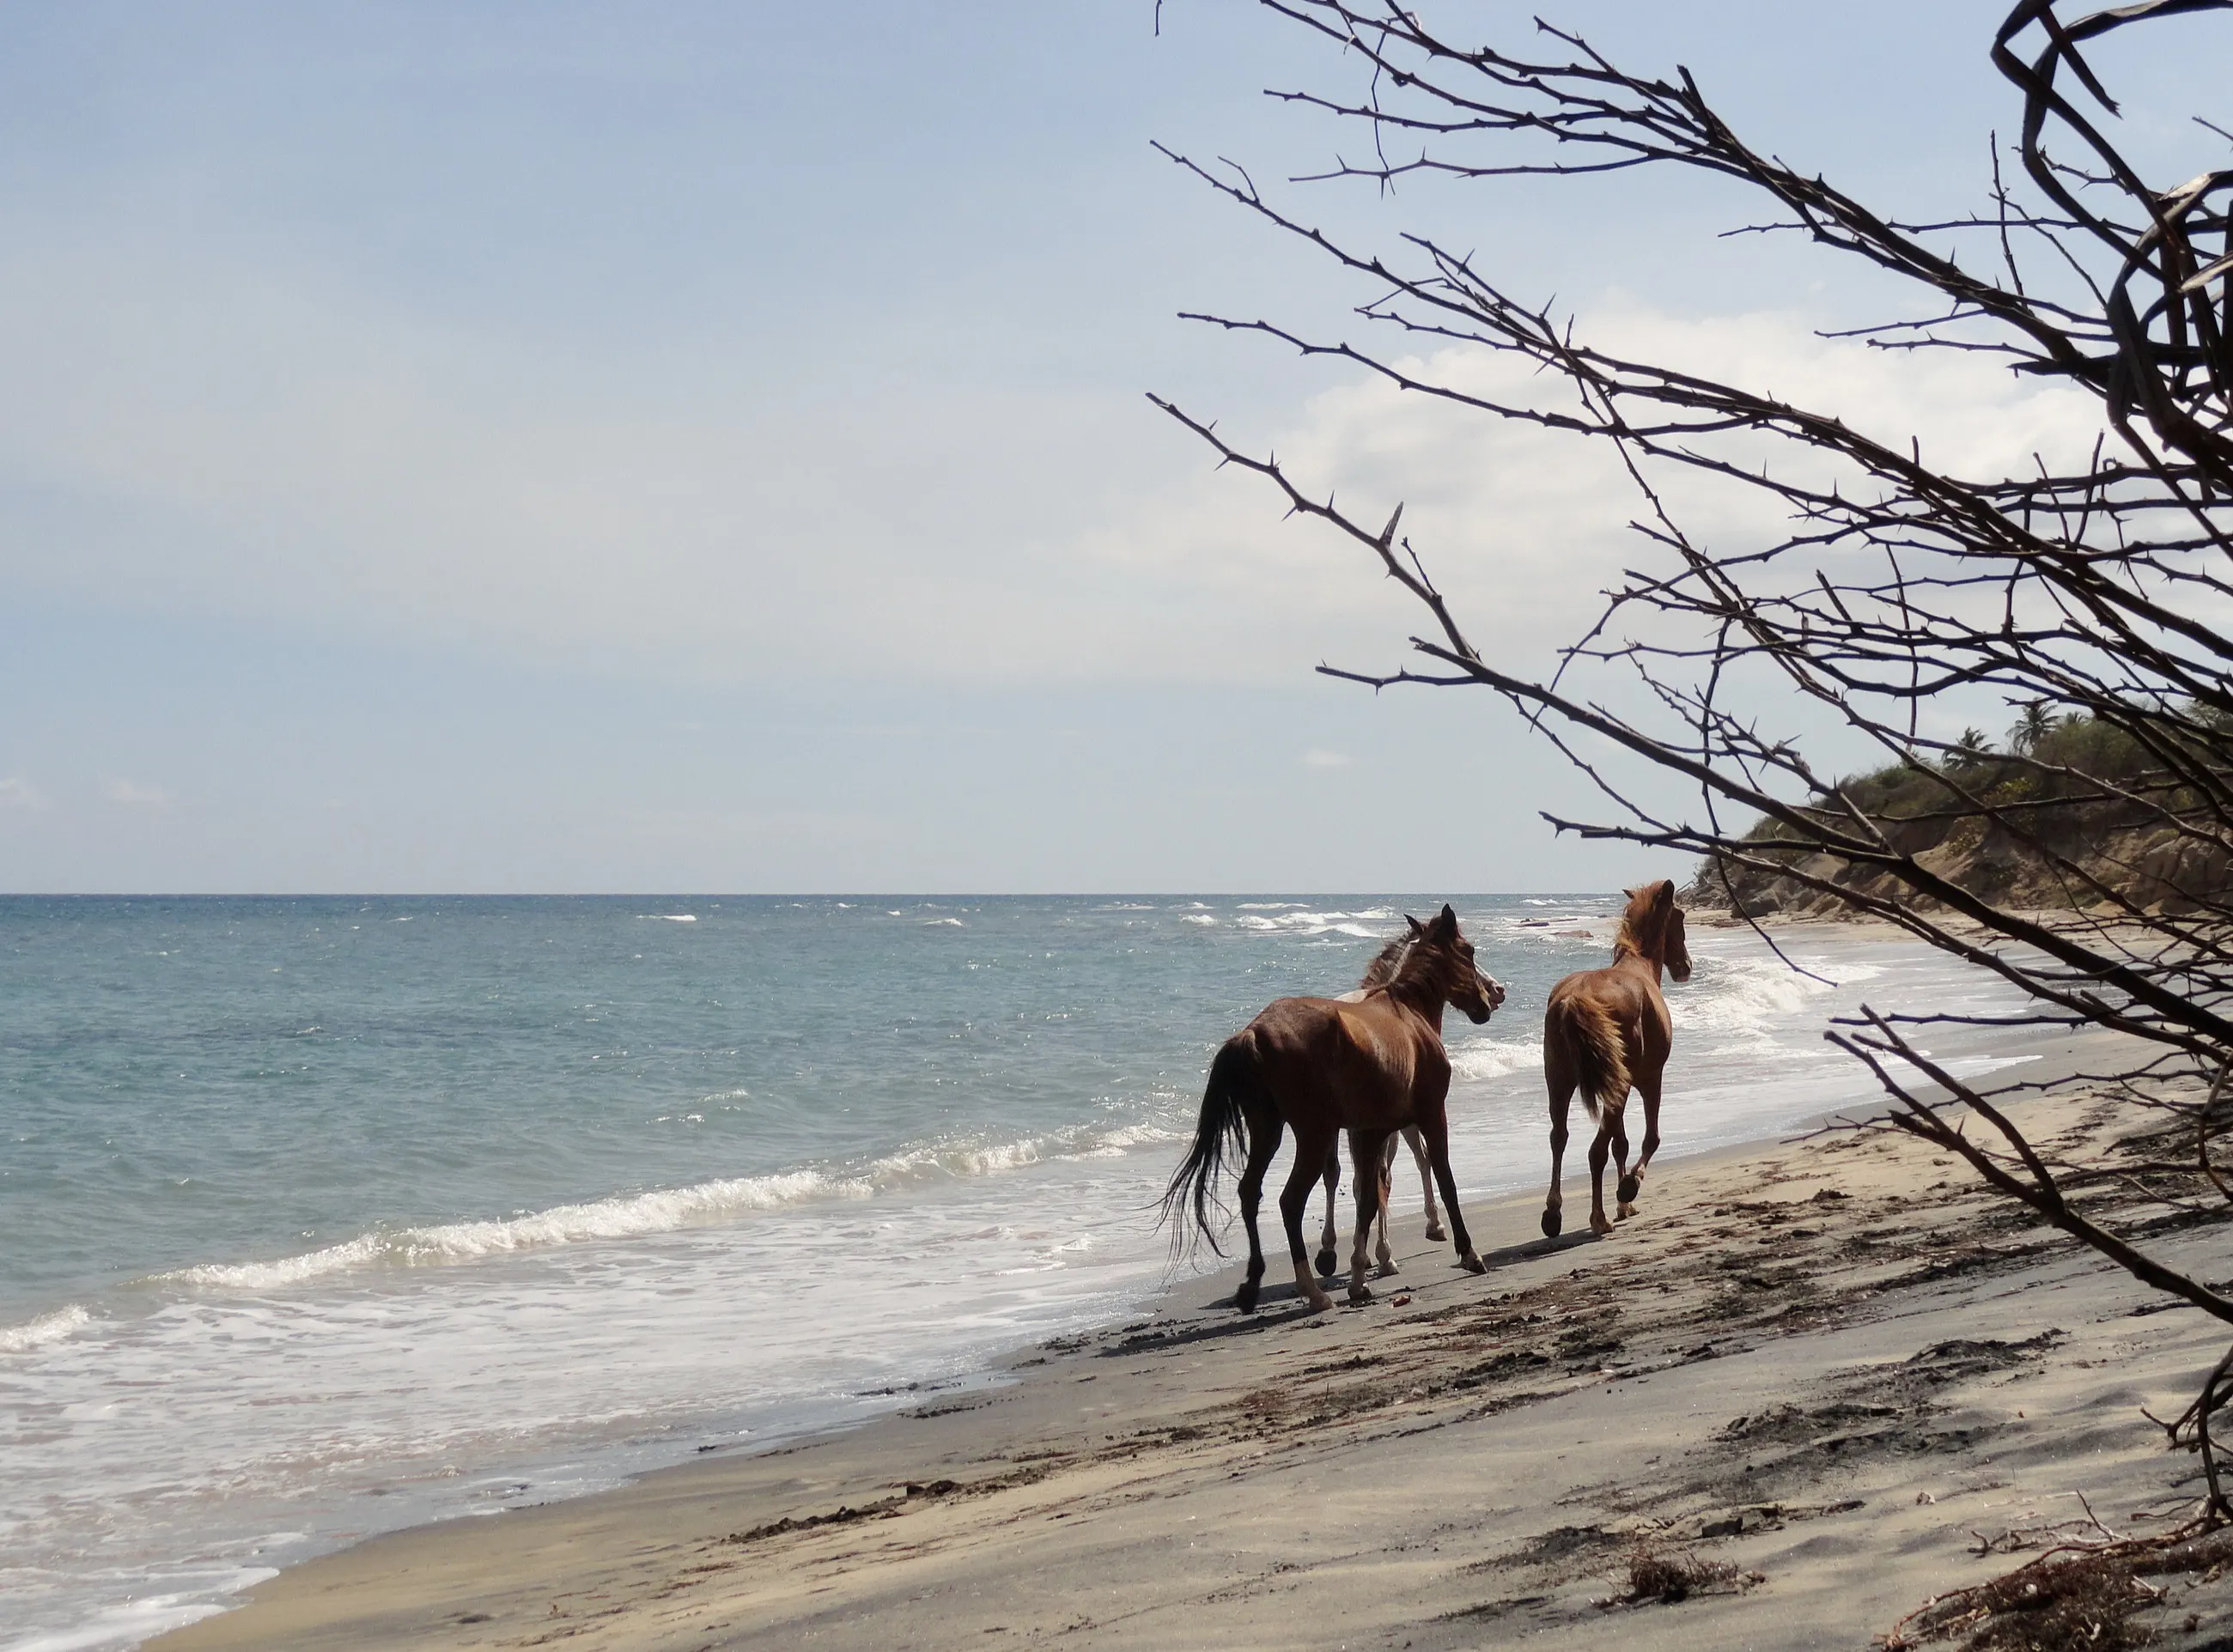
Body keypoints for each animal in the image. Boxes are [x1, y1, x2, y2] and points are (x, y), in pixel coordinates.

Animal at [1161, 905, 1505, 1313]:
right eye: (1469, 951)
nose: (1491, 997)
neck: (1408, 1012)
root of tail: (1253, 1033)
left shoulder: (1371, 1133)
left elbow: (1369, 1198)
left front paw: (1361, 1275)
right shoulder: (1431, 1116)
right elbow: (1443, 1180)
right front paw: (1468, 1254)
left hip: (1269, 1131)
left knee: (1250, 1193)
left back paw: (1252, 1286)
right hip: (1314, 1135)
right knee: (1290, 1201)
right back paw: (1313, 1291)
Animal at [1539, 879, 1692, 1240]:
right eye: (1679, 917)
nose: (1686, 967)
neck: (1638, 965)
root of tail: (1573, 999)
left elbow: (1620, 1143)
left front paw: (1624, 1205)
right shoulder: (1649, 1079)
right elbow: (1650, 1138)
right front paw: (1628, 1188)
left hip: (1560, 1082)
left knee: (1559, 1138)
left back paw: (1553, 1213)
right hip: (1616, 1087)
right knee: (1595, 1151)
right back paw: (1599, 1218)